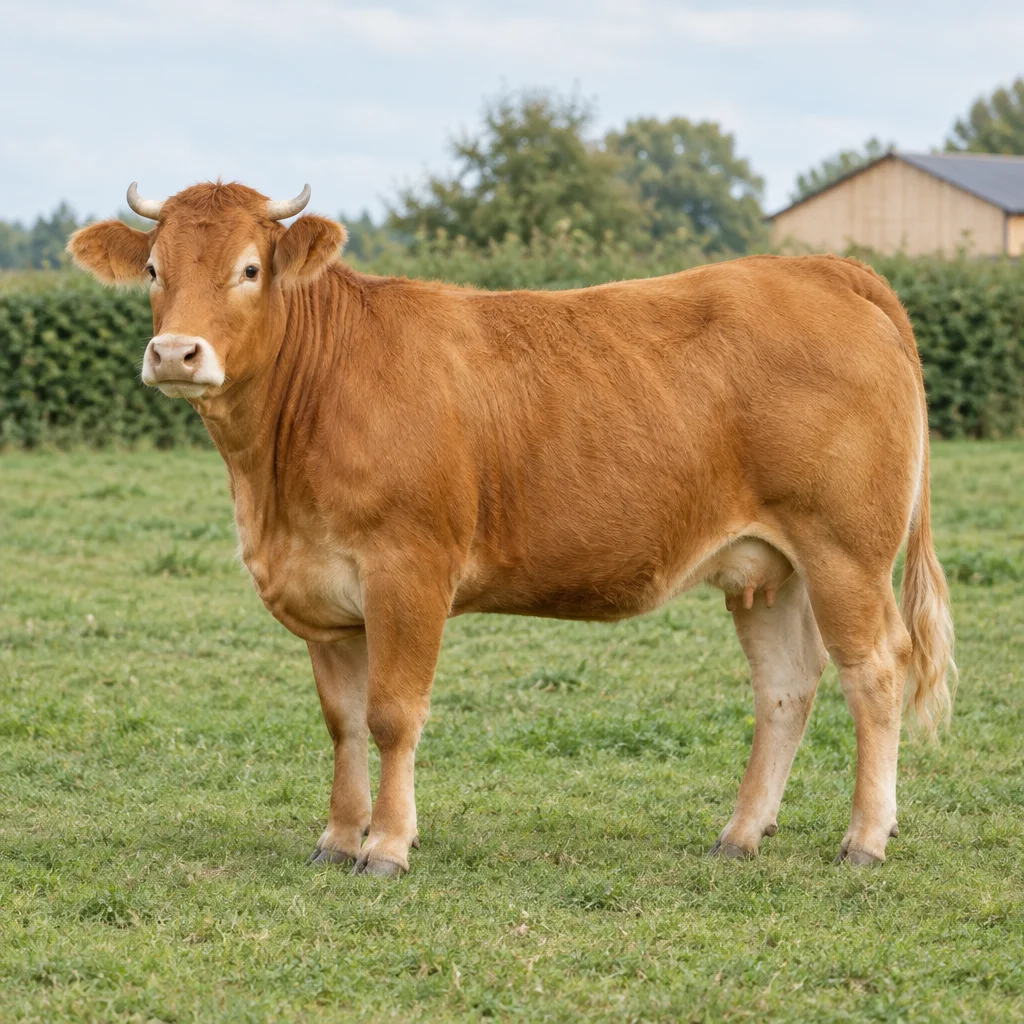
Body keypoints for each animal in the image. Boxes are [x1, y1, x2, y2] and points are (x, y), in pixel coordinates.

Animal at [67, 181, 955, 877]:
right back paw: (740, 834)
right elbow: (343, 722)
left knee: (877, 672)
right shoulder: (326, 596)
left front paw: (386, 847)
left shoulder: (409, 572)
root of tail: (821, 269)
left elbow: (392, 714)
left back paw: (864, 839)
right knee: (786, 687)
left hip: (845, 553)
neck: (274, 482)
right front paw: (337, 837)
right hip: (769, 566)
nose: (176, 354)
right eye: (155, 269)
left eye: (249, 270)